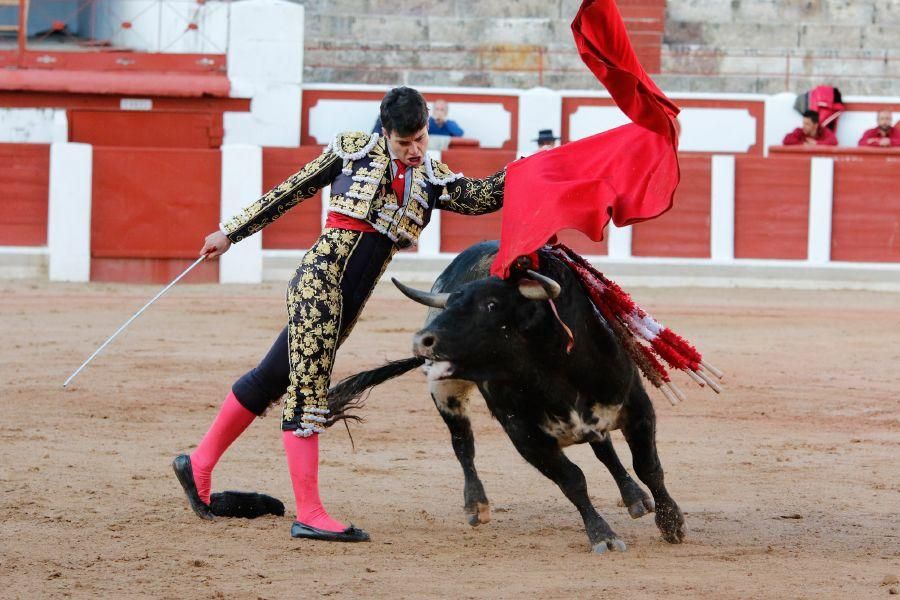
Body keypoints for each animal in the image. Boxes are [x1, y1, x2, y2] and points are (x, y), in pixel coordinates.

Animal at [326, 240, 684, 552]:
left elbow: (648, 466)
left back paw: (635, 498)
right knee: (463, 445)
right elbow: (573, 480)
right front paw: (603, 536)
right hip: (445, 391)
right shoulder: (526, 437)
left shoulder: (637, 408)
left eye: (491, 305)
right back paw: (476, 505)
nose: (422, 341)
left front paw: (671, 523)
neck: (554, 370)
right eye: (451, 305)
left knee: (604, 448)